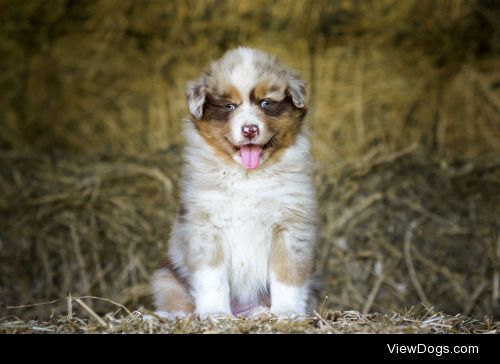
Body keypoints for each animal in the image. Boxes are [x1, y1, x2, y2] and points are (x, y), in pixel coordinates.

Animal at [150, 47, 318, 316]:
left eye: (266, 103)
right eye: (229, 106)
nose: (250, 129)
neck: (247, 178)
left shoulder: (291, 225)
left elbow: (287, 274)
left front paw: (286, 312)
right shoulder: (206, 228)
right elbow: (212, 278)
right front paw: (215, 313)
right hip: (164, 278)